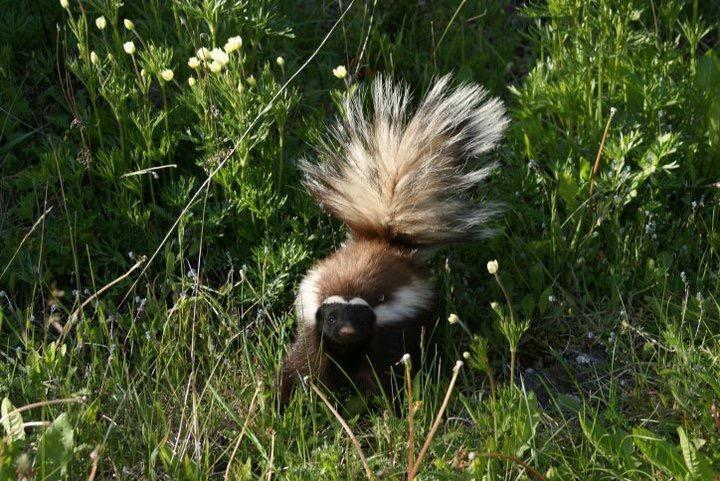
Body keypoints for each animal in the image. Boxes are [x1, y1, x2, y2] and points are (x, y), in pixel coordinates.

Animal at [278, 74, 510, 404]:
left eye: (360, 319)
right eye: (333, 318)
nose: (347, 332)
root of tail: (383, 241)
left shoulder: (386, 330)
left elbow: (378, 372)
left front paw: (379, 404)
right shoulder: (313, 327)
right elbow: (305, 364)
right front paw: (293, 398)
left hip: (419, 316)